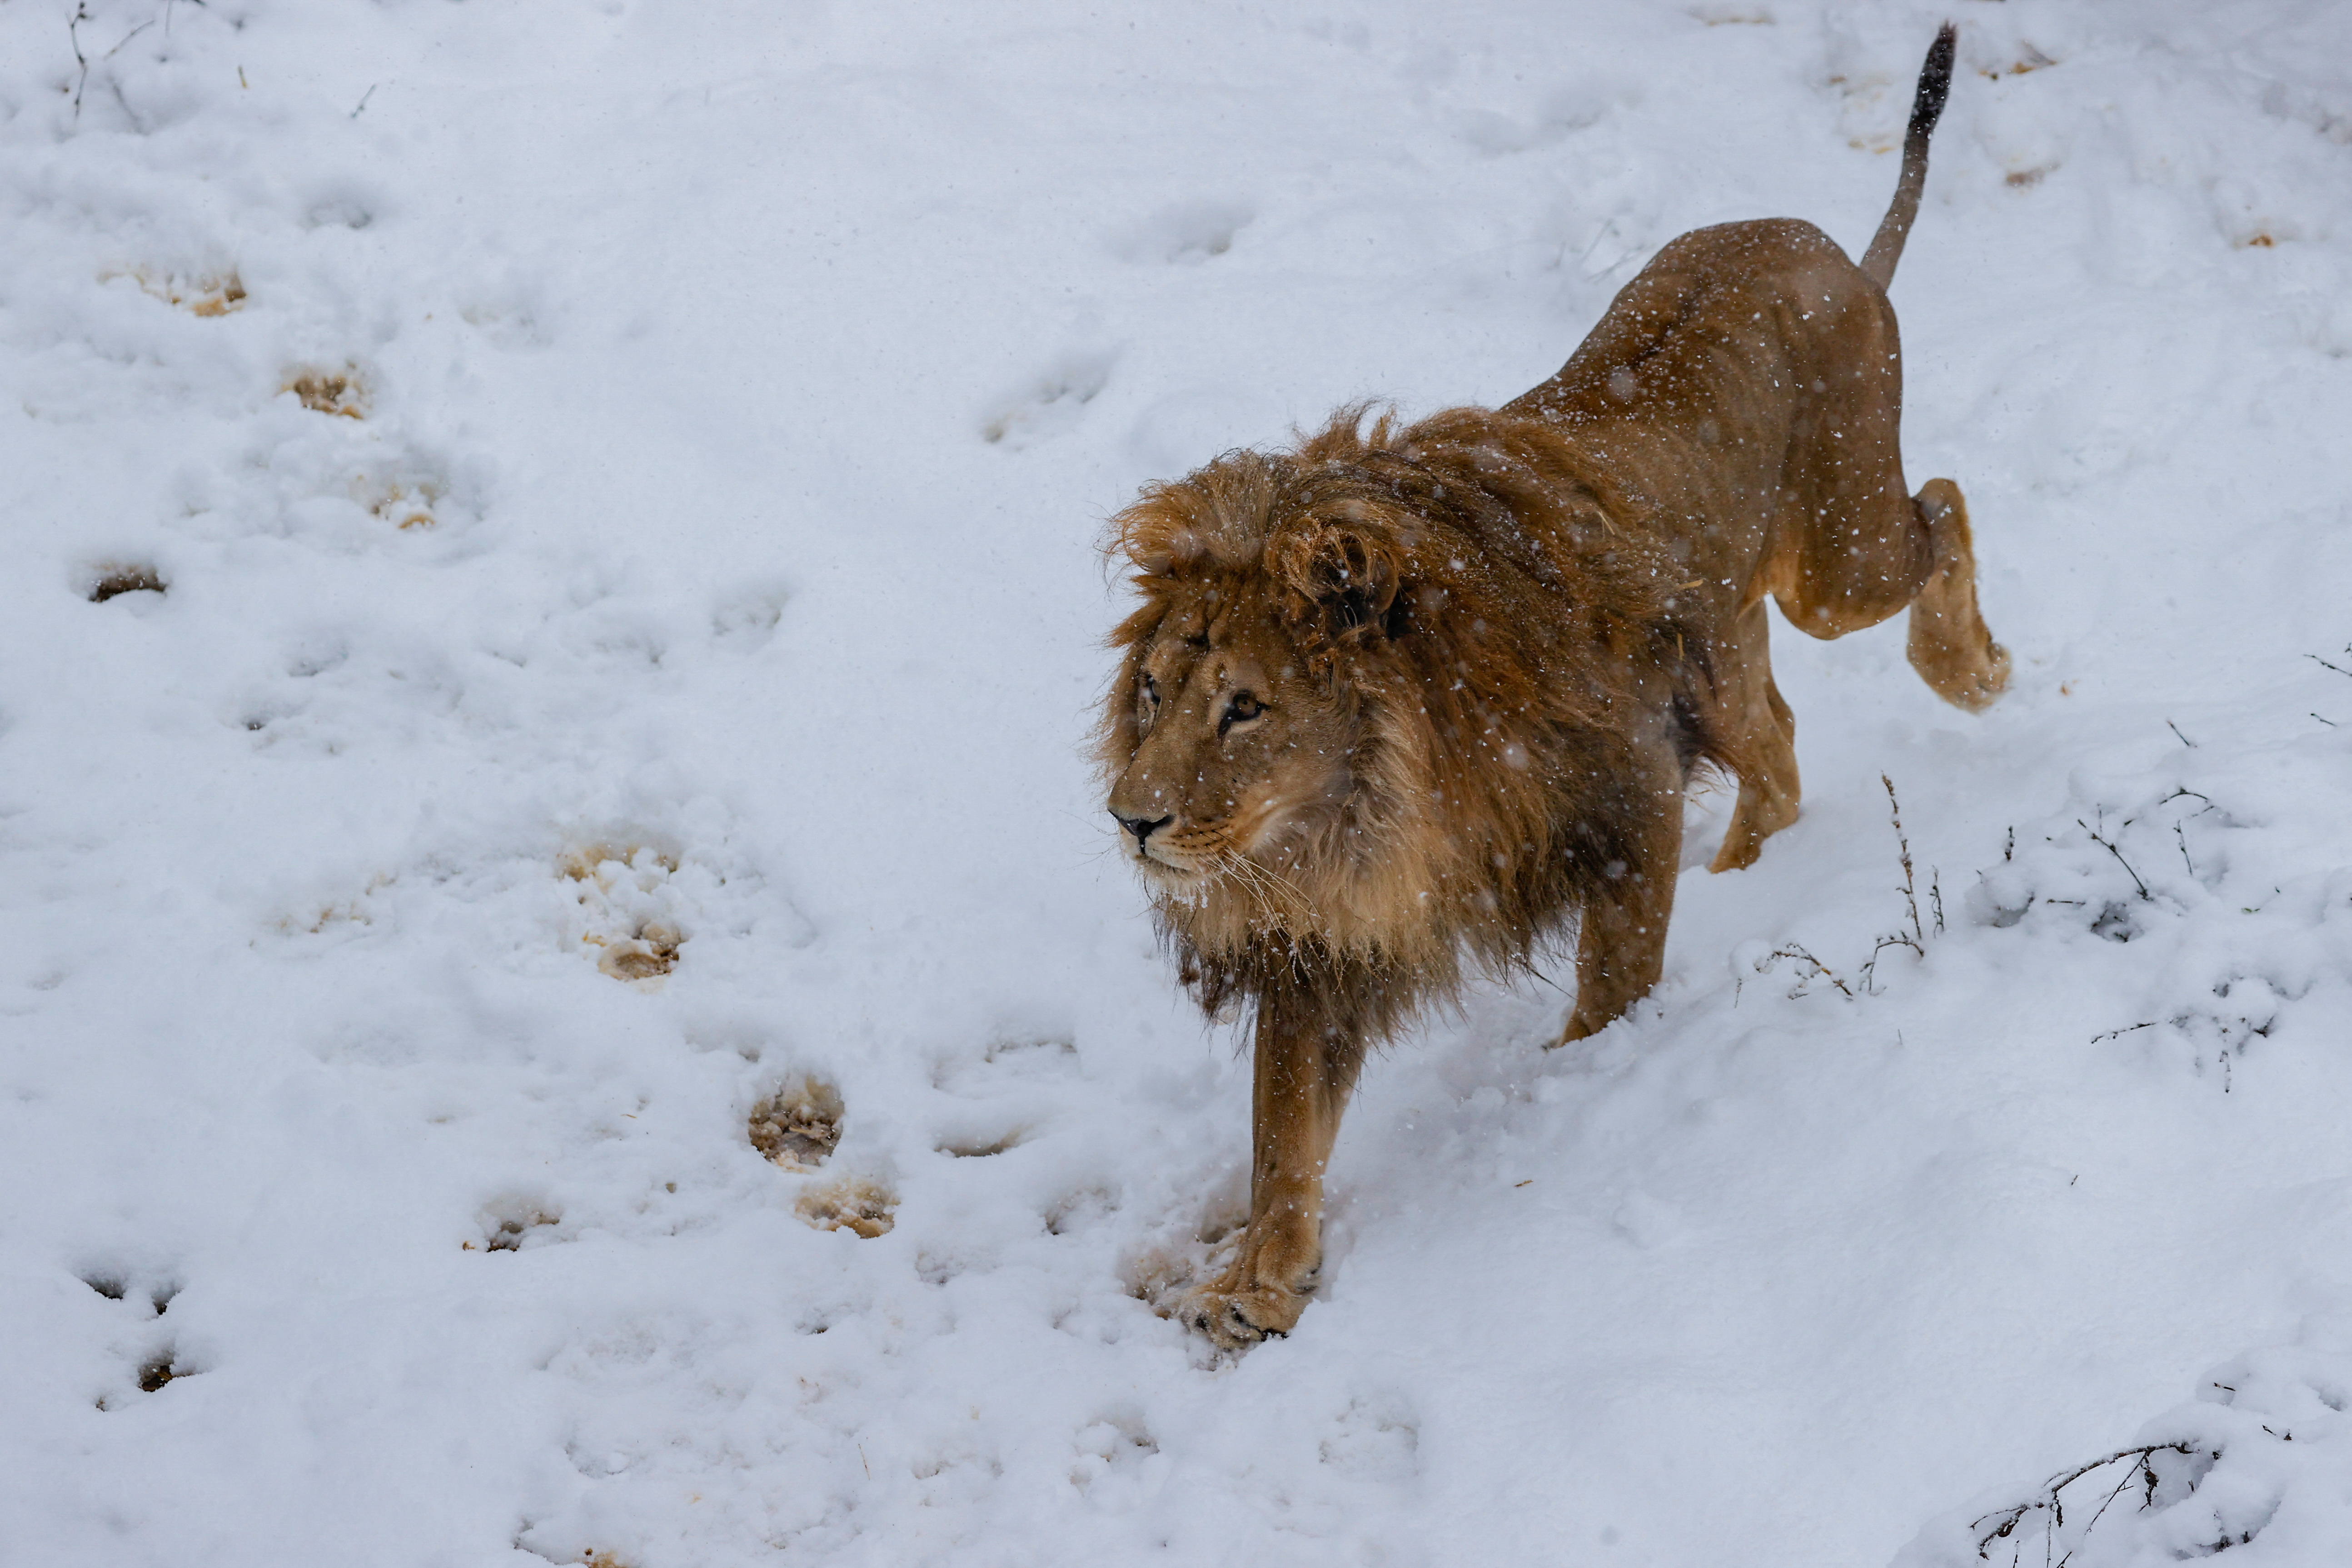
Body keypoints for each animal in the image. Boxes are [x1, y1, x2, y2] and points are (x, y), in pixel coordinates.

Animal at [1101, 25, 2003, 1354]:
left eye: (1245, 707)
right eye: (1156, 695)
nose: (1133, 818)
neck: (1369, 806)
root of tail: (1835, 251)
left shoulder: (1622, 803)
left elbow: (1609, 986)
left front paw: (1577, 1086)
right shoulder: (1328, 932)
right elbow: (1284, 1130)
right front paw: (1257, 1283)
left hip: (1838, 558)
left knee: (1940, 505)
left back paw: (1973, 673)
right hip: (1725, 632)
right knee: (1780, 739)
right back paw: (1749, 875)